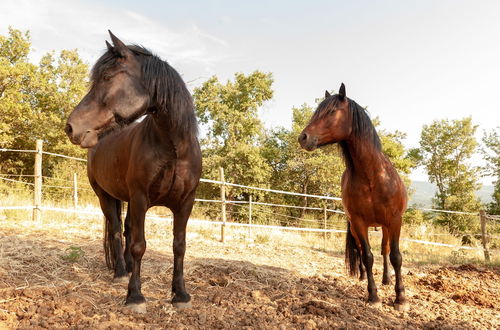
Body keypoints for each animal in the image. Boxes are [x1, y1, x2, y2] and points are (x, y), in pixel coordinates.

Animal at [64, 32, 201, 314]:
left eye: (107, 77)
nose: (71, 127)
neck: (173, 148)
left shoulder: (185, 203)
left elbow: (179, 246)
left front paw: (180, 294)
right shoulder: (140, 199)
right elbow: (139, 245)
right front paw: (135, 296)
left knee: (126, 228)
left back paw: (126, 268)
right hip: (105, 197)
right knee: (117, 230)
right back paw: (120, 272)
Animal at [296, 84, 406, 310]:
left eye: (331, 111)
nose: (303, 138)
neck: (372, 176)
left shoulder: (394, 220)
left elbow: (395, 256)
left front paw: (400, 298)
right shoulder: (358, 222)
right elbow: (367, 256)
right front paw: (373, 296)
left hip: (385, 226)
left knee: (385, 250)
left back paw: (386, 279)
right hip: (357, 228)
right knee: (362, 251)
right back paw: (364, 277)